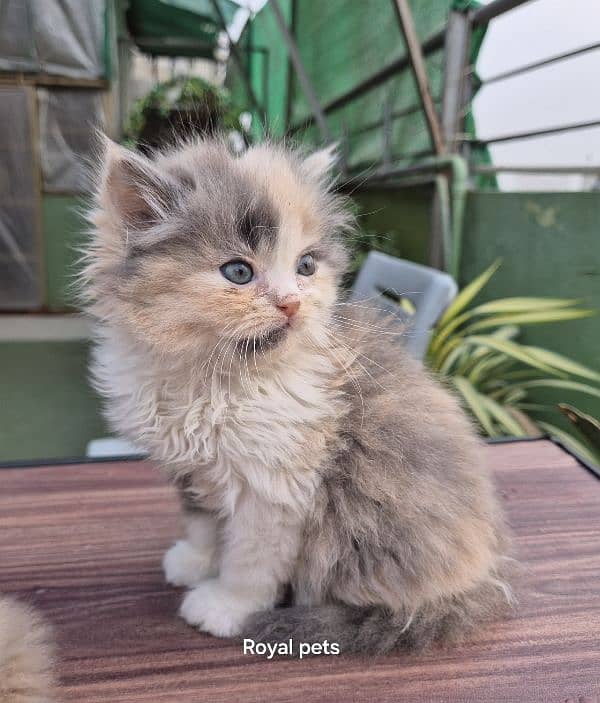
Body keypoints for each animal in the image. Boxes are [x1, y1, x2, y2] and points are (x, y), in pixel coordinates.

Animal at [82, 136, 512, 656]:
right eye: (238, 272)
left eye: (306, 266)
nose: (292, 302)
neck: (215, 380)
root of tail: (483, 575)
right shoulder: (194, 468)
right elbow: (204, 523)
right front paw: (195, 561)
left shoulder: (274, 486)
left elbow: (249, 559)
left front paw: (225, 606)